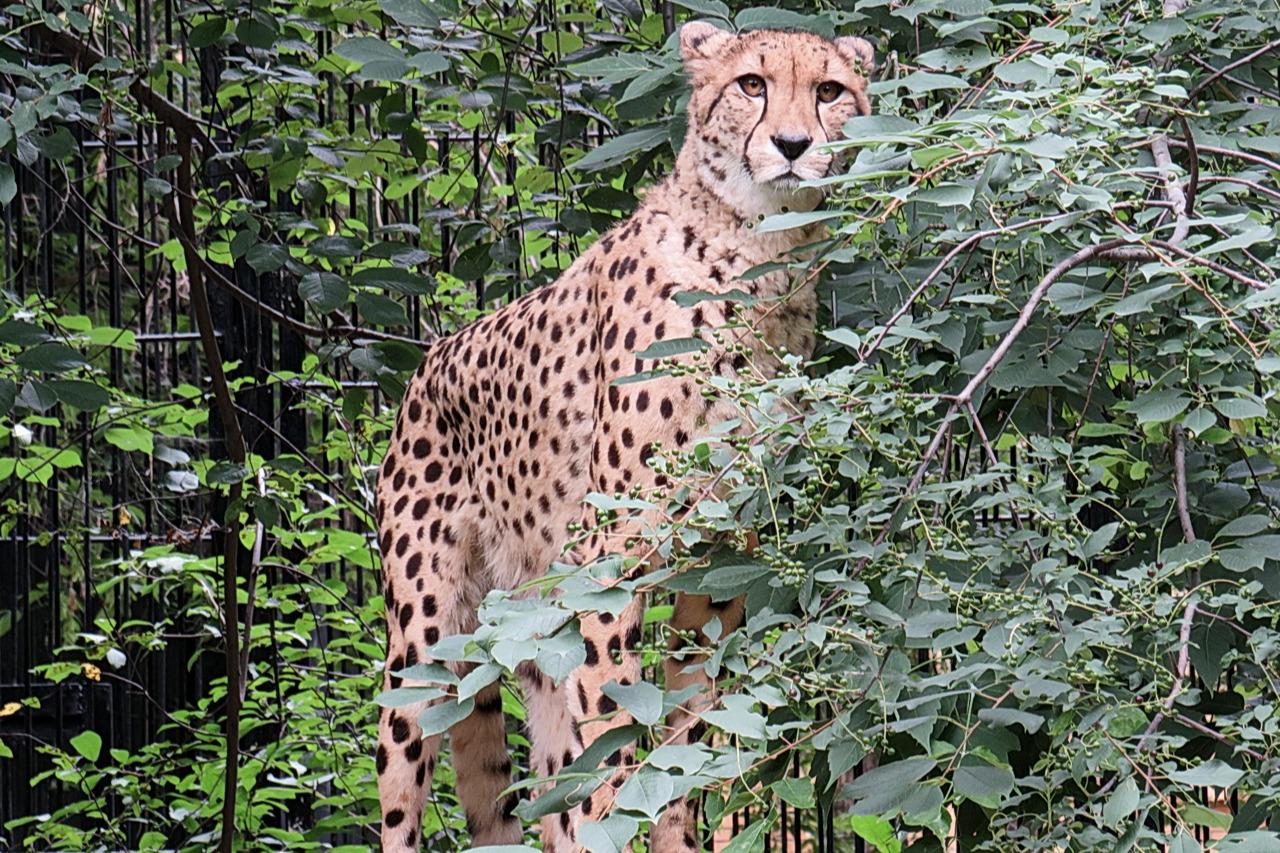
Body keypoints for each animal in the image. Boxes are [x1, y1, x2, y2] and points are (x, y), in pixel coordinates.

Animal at [373, 21, 875, 850]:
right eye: (751, 84)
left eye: (830, 91)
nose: (794, 144)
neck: (756, 257)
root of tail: (429, 360)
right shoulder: (612, 551)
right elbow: (613, 731)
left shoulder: (718, 561)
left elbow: (684, 740)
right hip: (425, 643)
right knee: (404, 783)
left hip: (531, 624)